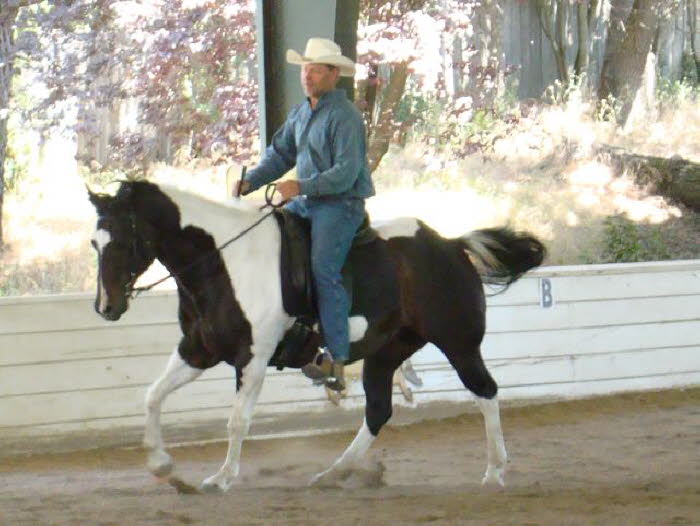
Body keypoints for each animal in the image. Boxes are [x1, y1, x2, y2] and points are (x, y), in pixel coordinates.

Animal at [89, 179, 548, 492]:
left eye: (123, 239)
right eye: (95, 242)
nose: (106, 307)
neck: (223, 263)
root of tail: (451, 245)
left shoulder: (253, 357)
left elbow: (237, 421)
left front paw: (221, 477)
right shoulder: (196, 351)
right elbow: (152, 396)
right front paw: (162, 465)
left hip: (459, 343)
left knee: (485, 392)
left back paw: (494, 471)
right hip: (385, 354)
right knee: (378, 411)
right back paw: (334, 472)